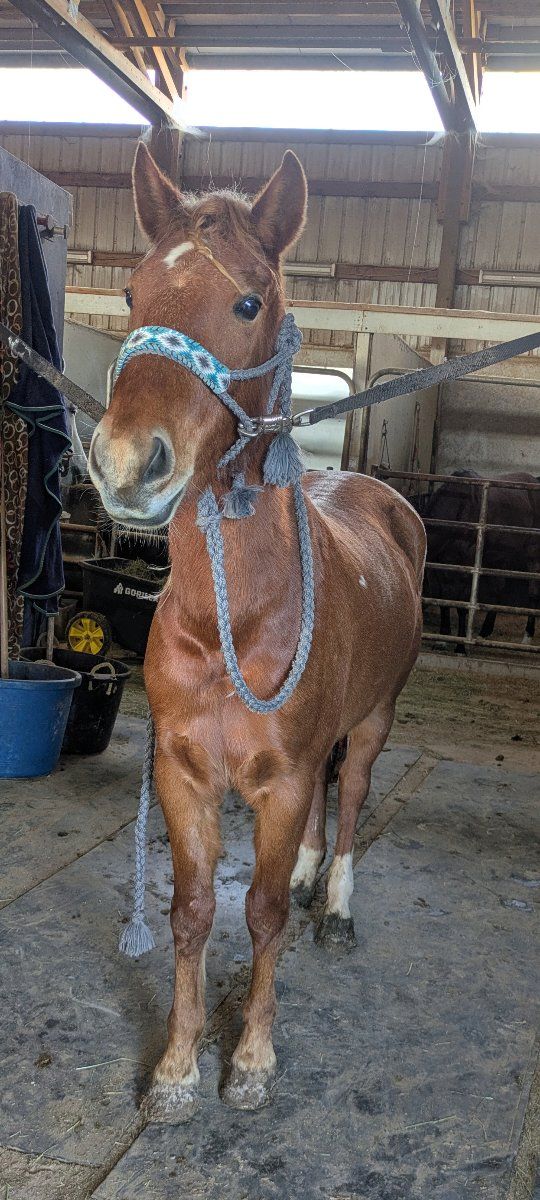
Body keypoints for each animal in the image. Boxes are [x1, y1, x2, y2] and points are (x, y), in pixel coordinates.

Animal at [88, 143, 426, 1120]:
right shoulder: (186, 776)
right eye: (130, 294)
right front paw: (175, 1068)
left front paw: (250, 1060)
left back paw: (336, 903)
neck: (232, 619)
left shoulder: (281, 780)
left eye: (246, 302)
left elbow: (265, 914)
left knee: (350, 799)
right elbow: (194, 912)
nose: (126, 463)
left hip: (374, 718)